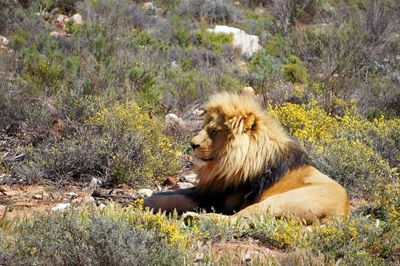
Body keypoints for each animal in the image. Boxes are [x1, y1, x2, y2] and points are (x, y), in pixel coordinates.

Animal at [145, 92, 350, 223]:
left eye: (214, 131)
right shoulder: (211, 189)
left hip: (275, 202)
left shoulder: (222, 198)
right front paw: (149, 199)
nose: (192, 144)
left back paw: (194, 218)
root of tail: (342, 213)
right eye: (204, 127)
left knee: (235, 220)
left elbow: (177, 198)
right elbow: (173, 194)